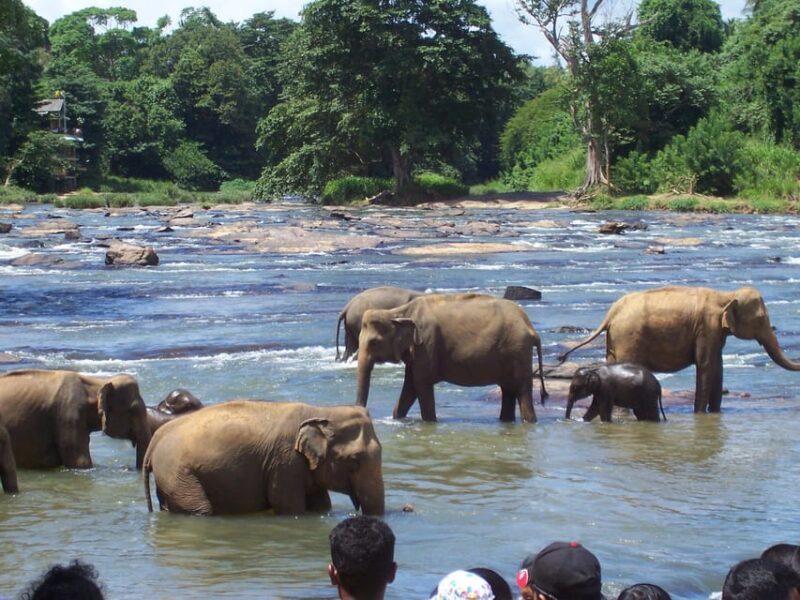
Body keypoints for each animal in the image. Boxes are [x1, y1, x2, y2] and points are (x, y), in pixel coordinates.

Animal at [143, 400, 384, 516]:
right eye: (354, 461)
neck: (322, 411)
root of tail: (156, 438)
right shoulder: (285, 462)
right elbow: (289, 506)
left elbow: (322, 505)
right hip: (177, 474)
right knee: (200, 510)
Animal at [356, 293, 548, 423]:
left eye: (374, 342)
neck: (398, 312)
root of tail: (531, 328)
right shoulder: (417, 352)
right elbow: (410, 387)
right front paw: (397, 418)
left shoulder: (426, 344)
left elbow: (420, 384)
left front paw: (430, 423)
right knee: (508, 390)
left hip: (518, 351)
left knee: (522, 391)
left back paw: (529, 422)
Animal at [559, 286, 800, 413]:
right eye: (760, 320)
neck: (724, 295)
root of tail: (611, 313)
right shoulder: (706, 328)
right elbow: (706, 366)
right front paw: (700, 414)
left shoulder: (715, 334)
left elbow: (718, 367)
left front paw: (715, 414)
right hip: (629, 338)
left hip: (614, 340)